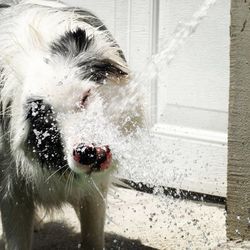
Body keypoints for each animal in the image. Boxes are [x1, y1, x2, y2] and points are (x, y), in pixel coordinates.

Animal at [0, 0, 133, 249]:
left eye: (85, 97)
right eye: (46, 121)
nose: (88, 153)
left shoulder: (94, 189)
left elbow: (93, 235)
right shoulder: (10, 188)